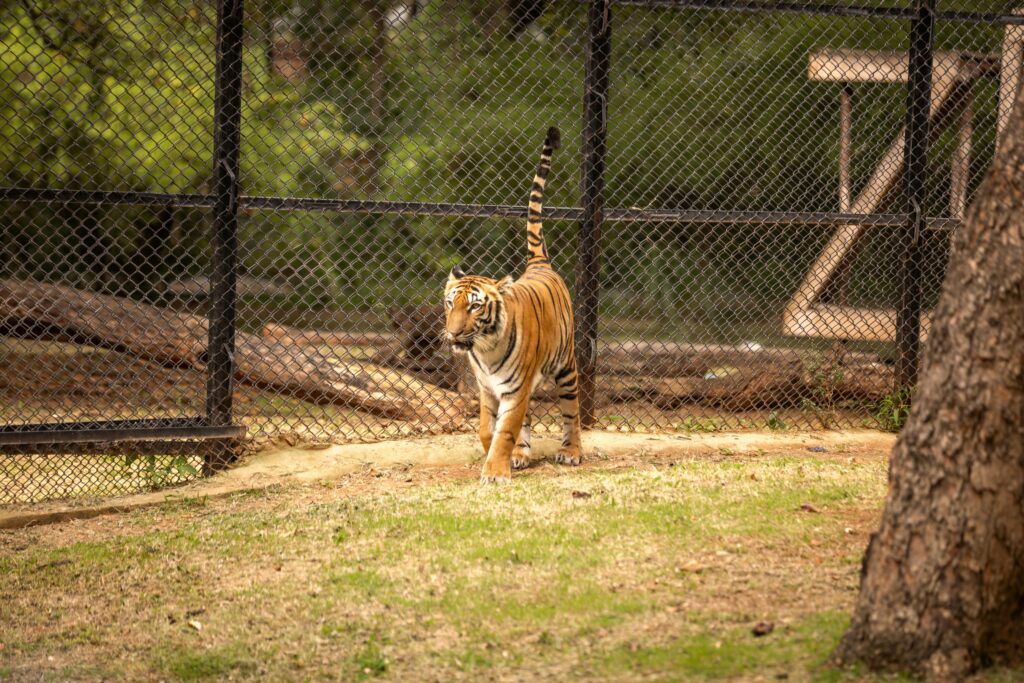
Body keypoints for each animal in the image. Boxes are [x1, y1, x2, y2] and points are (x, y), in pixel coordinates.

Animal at [443, 126, 582, 483]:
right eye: (450, 304)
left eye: (474, 307)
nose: (453, 334)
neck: (484, 349)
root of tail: (539, 264)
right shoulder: (488, 389)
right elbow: (486, 429)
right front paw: (500, 454)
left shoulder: (514, 389)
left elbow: (505, 430)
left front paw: (495, 471)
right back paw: (521, 455)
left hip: (566, 366)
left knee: (572, 411)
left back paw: (571, 451)